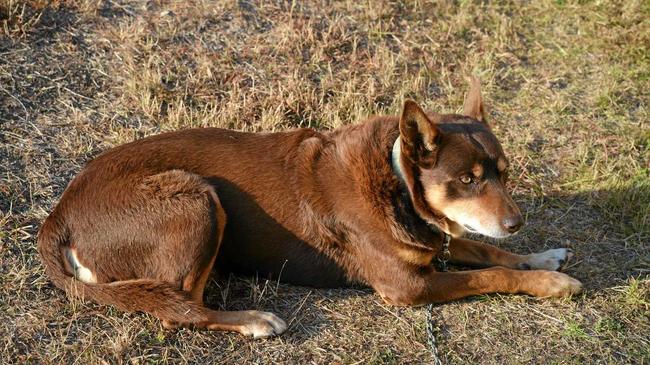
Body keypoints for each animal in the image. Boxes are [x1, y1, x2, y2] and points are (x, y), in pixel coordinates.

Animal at [38, 77, 580, 338]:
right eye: (467, 180)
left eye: (503, 173)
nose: (517, 222)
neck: (399, 185)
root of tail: (58, 217)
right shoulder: (407, 286)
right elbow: (490, 273)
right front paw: (549, 282)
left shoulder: (436, 240)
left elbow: (484, 249)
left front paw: (541, 256)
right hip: (196, 198)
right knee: (178, 310)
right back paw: (253, 320)